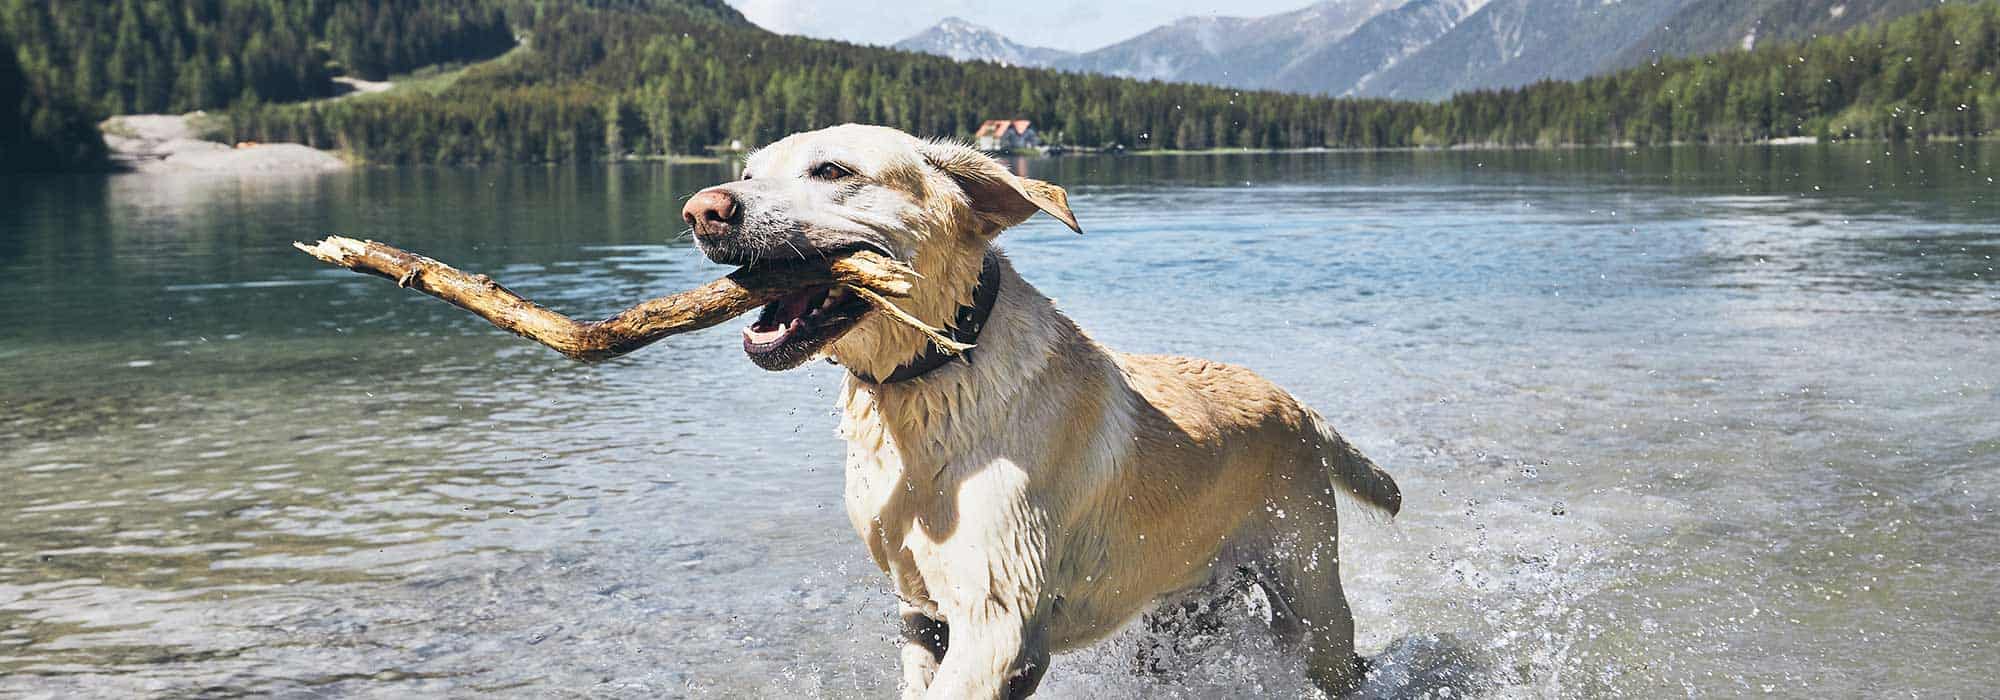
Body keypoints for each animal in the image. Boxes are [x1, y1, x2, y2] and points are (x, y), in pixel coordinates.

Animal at [680, 123, 1400, 696]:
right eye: (748, 173)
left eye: (833, 171)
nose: (701, 210)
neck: (929, 380)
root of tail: (1298, 406)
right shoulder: (921, 613)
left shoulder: (996, 619)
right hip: (1179, 616)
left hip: (1311, 594)